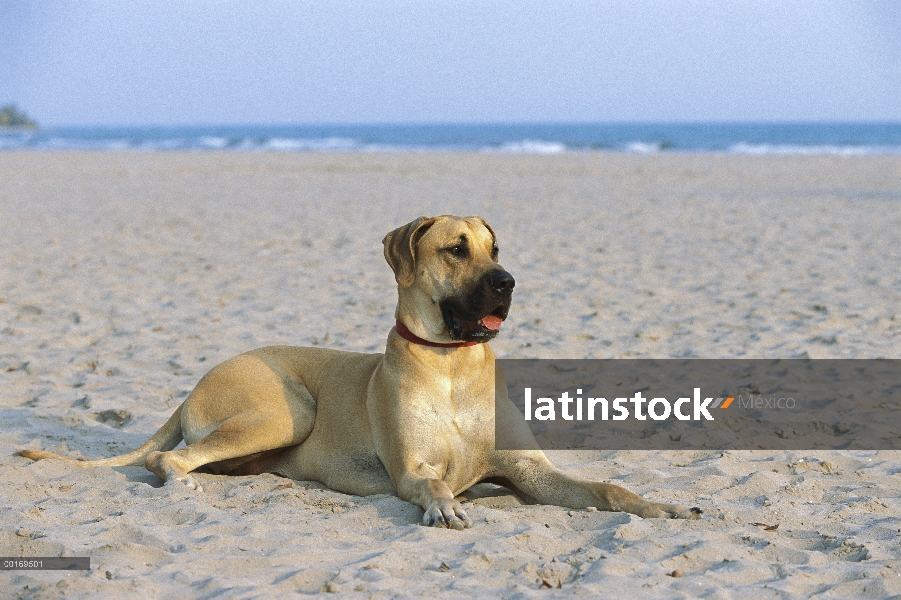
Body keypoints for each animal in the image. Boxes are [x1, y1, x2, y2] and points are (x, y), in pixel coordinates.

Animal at [15, 217, 704, 528]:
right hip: (287, 409)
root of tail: (194, 386)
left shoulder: (530, 468)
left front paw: (658, 504)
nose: (508, 283)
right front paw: (447, 506)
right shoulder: (411, 471)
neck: (453, 365)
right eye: (456, 249)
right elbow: (431, 485)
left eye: (496, 248)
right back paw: (184, 484)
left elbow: (606, 490)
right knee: (171, 458)